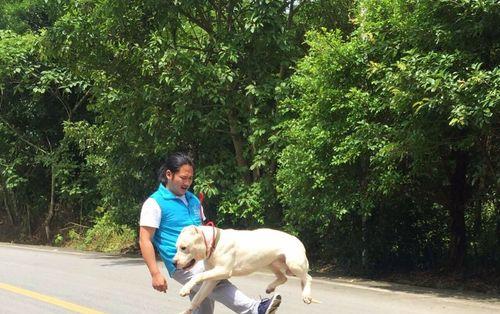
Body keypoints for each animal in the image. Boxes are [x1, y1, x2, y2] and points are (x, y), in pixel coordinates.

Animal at [173, 226, 312, 314]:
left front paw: (186, 288)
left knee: (307, 277)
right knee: (283, 277)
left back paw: (306, 295)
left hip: (293, 263)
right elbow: (198, 298)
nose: (174, 262)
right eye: (176, 247)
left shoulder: (223, 270)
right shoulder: (211, 280)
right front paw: (187, 311)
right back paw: (270, 287)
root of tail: (297, 240)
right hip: (270, 263)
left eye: (183, 247)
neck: (214, 243)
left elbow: (197, 276)